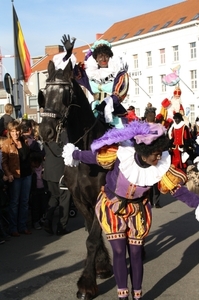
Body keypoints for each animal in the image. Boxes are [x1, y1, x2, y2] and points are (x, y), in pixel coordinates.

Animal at [38, 59, 112, 298]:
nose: (45, 131)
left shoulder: (100, 198)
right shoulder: (79, 200)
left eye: (65, 94)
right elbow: (91, 233)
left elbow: (93, 239)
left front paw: (86, 284)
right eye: (44, 93)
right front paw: (102, 266)